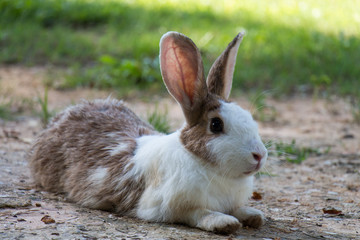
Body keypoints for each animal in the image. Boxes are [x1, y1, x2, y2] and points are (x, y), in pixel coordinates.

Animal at [28, 31, 268, 234]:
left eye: (248, 116)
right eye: (216, 125)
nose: (259, 155)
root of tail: (60, 118)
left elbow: (238, 209)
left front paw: (253, 215)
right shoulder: (167, 206)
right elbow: (199, 213)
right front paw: (223, 222)